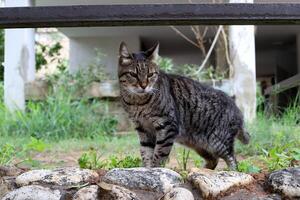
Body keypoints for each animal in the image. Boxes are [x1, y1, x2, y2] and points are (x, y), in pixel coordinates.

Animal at [118, 41, 250, 170]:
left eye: (150, 74)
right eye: (133, 74)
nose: (144, 85)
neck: (138, 103)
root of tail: (237, 109)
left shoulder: (167, 126)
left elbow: (159, 154)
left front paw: (155, 170)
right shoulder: (143, 128)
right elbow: (146, 153)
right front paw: (146, 170)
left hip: (218, 143)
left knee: (233, 160)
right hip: (200, 145)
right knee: (214, 160)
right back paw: (201, 170)